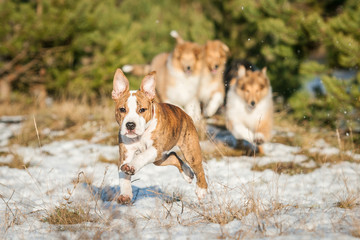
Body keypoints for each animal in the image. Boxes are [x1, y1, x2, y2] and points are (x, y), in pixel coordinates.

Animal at [112, 68, 208, 203]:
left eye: (142, 110)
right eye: (122, 109)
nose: (130, 125)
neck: (141, 135)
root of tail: (184, 113)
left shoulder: (156, 148)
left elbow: (142, 156)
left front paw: (131, 166)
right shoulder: (125, 155)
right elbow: (123, 176)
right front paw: (125, 195)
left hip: (190, 150)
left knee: (198, 168)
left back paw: (201, 189)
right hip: (159, 159)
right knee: (173, 155)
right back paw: (188, 174)